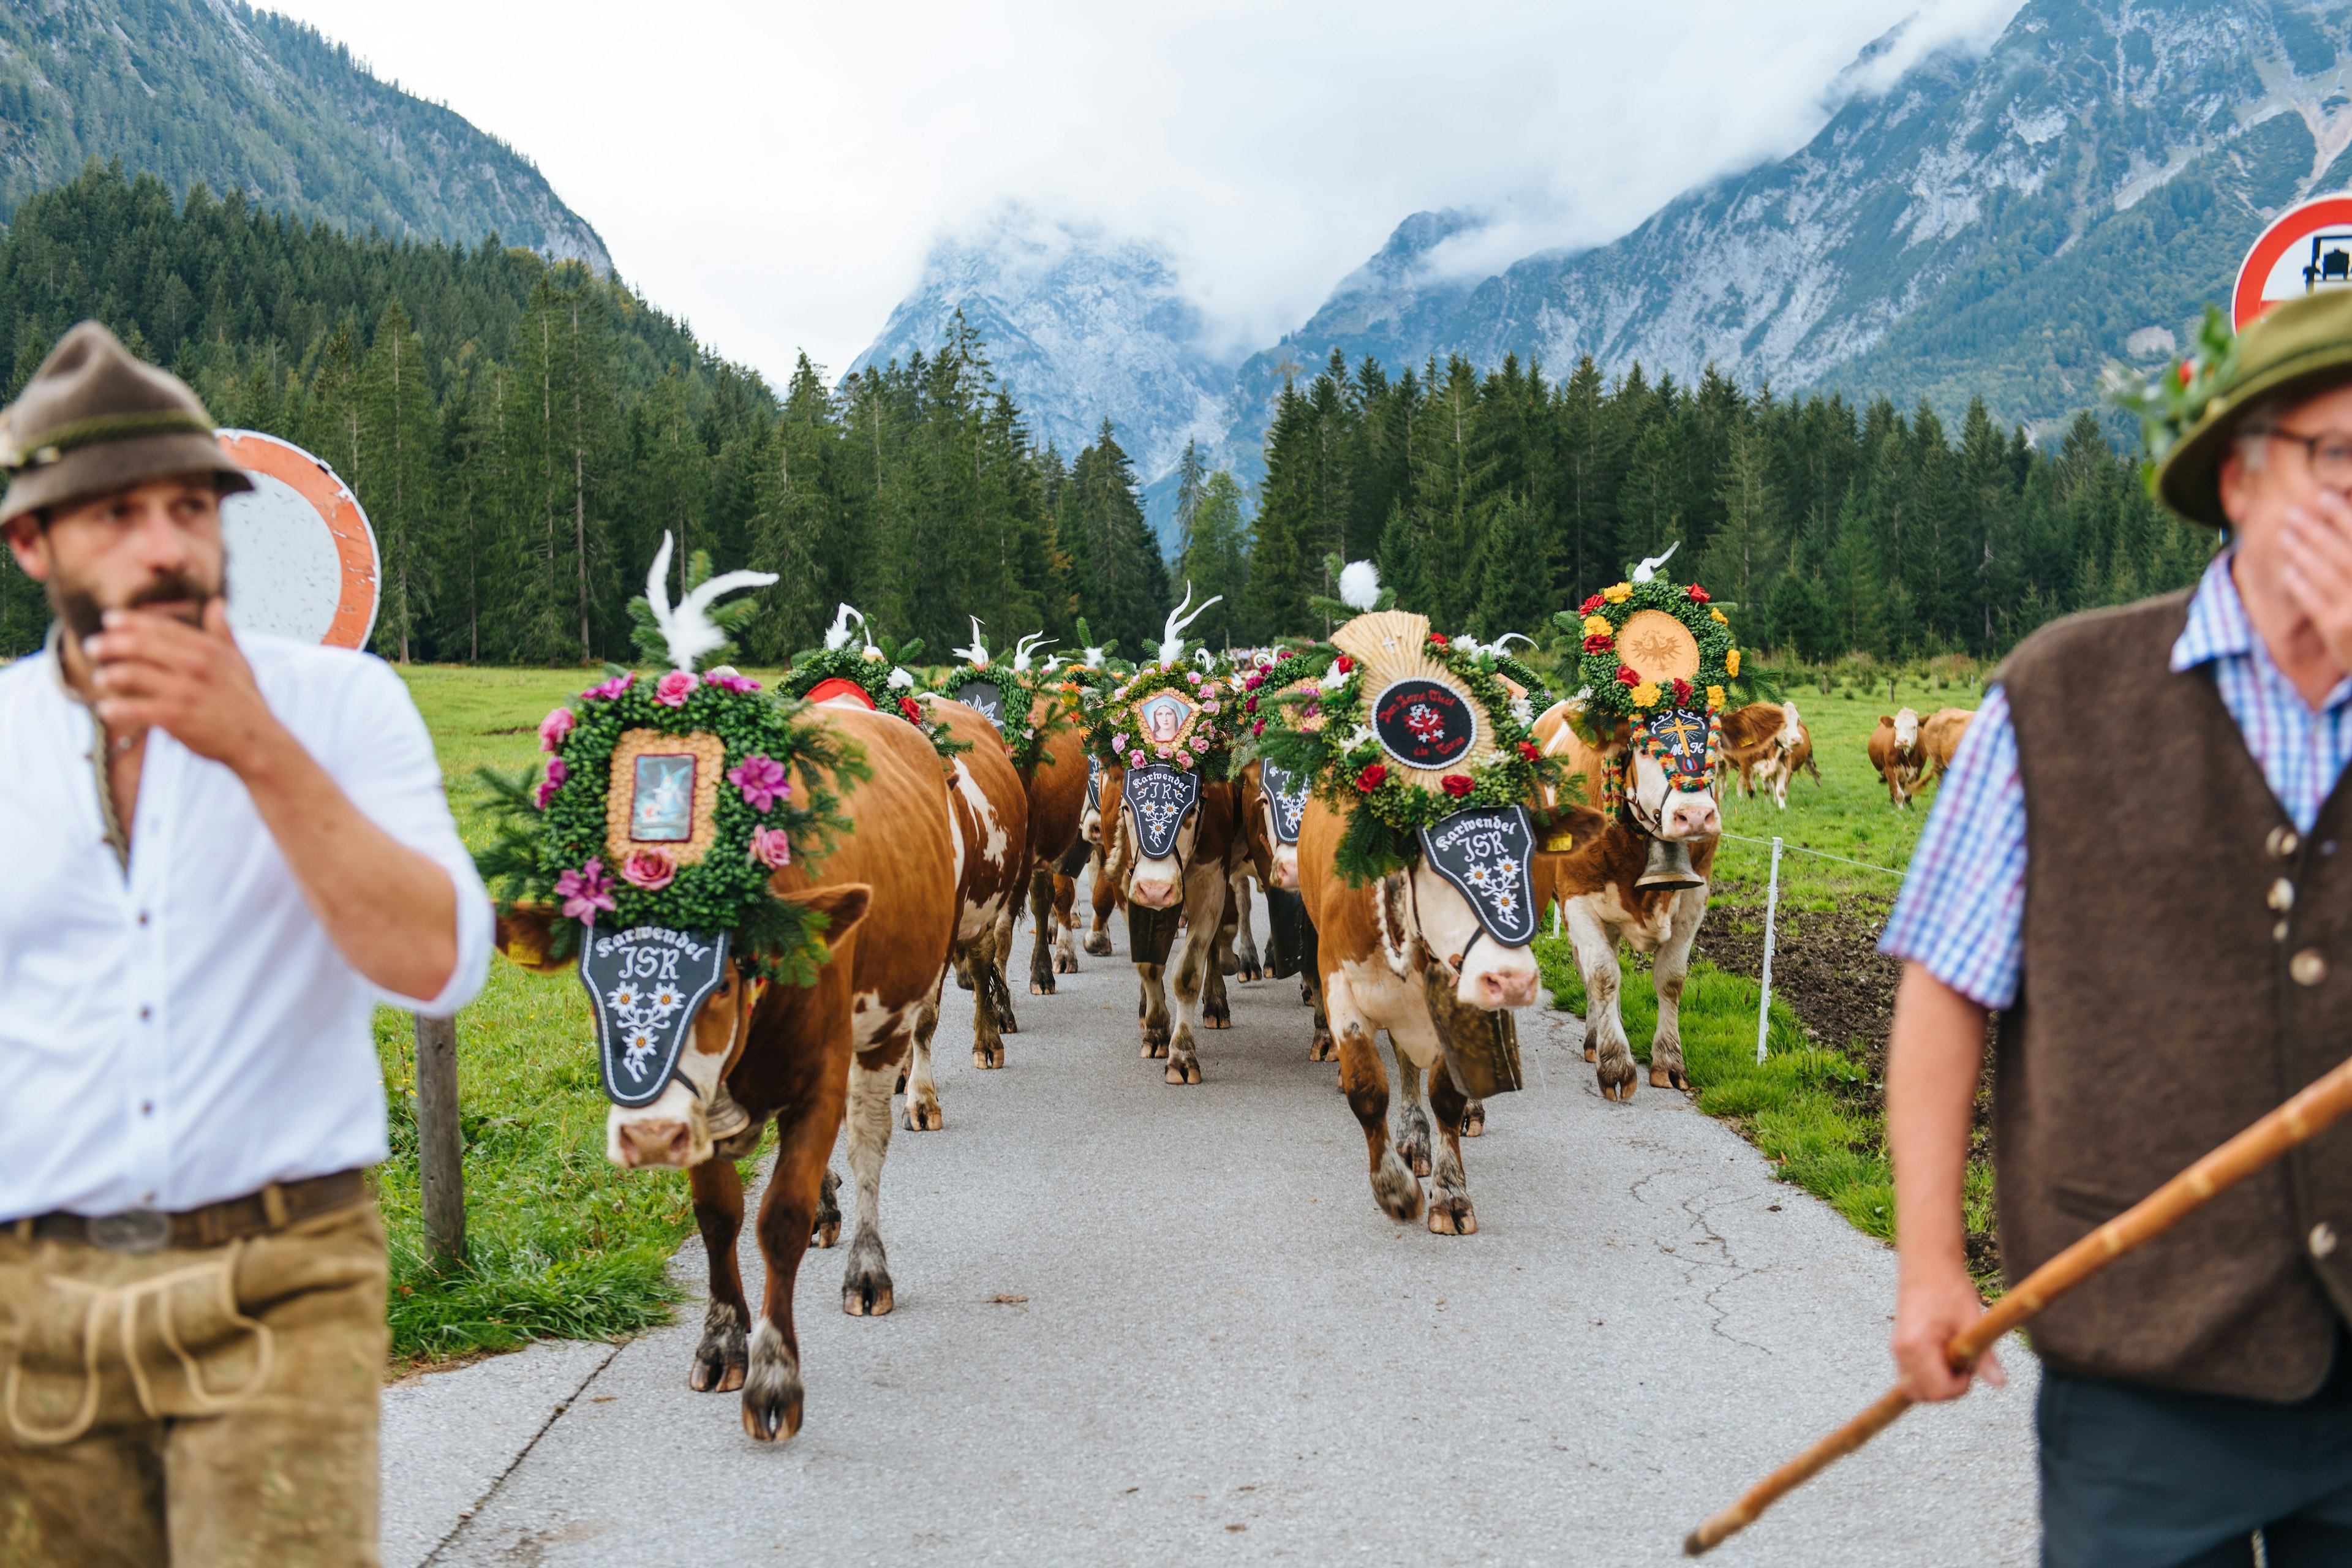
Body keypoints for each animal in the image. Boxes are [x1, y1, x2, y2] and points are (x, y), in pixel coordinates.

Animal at [1533, 700, 1721, 1104]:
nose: (1696, 816)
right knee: (1592, 968)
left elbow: (1671, 979)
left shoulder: (1695, 898)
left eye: (1714, 745)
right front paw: (1617, 1065)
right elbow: (1603, 976)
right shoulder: (1577, 897)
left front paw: (1669, 1063)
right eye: (1644, 749)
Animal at [1872, 710, 1928, 809]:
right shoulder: (1890, 769)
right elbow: (1899, 794)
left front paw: (1909, 807)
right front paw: (1900, 809)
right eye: (1895, 727)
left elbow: (1908, 793)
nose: (1902, 741)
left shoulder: (1917, 772)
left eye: (1914, 727)